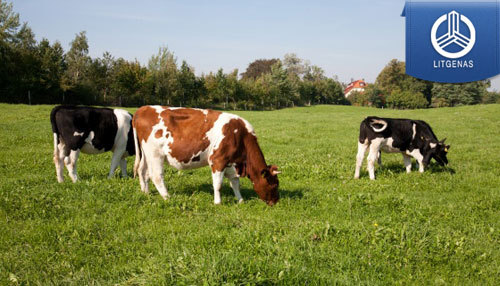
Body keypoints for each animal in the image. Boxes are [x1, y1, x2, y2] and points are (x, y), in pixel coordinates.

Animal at [132, 106, 282, 204]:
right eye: (274, 185)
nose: (276, 201)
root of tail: (143, 109)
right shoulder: (217, 160)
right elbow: (218, 184)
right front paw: (218, 202)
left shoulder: (230, 163)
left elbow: (235, 183)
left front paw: (240, 200)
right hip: (155, 154)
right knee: (156, 176)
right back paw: (167, 197)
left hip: (146, 154)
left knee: (142, 171)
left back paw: (146, 193)